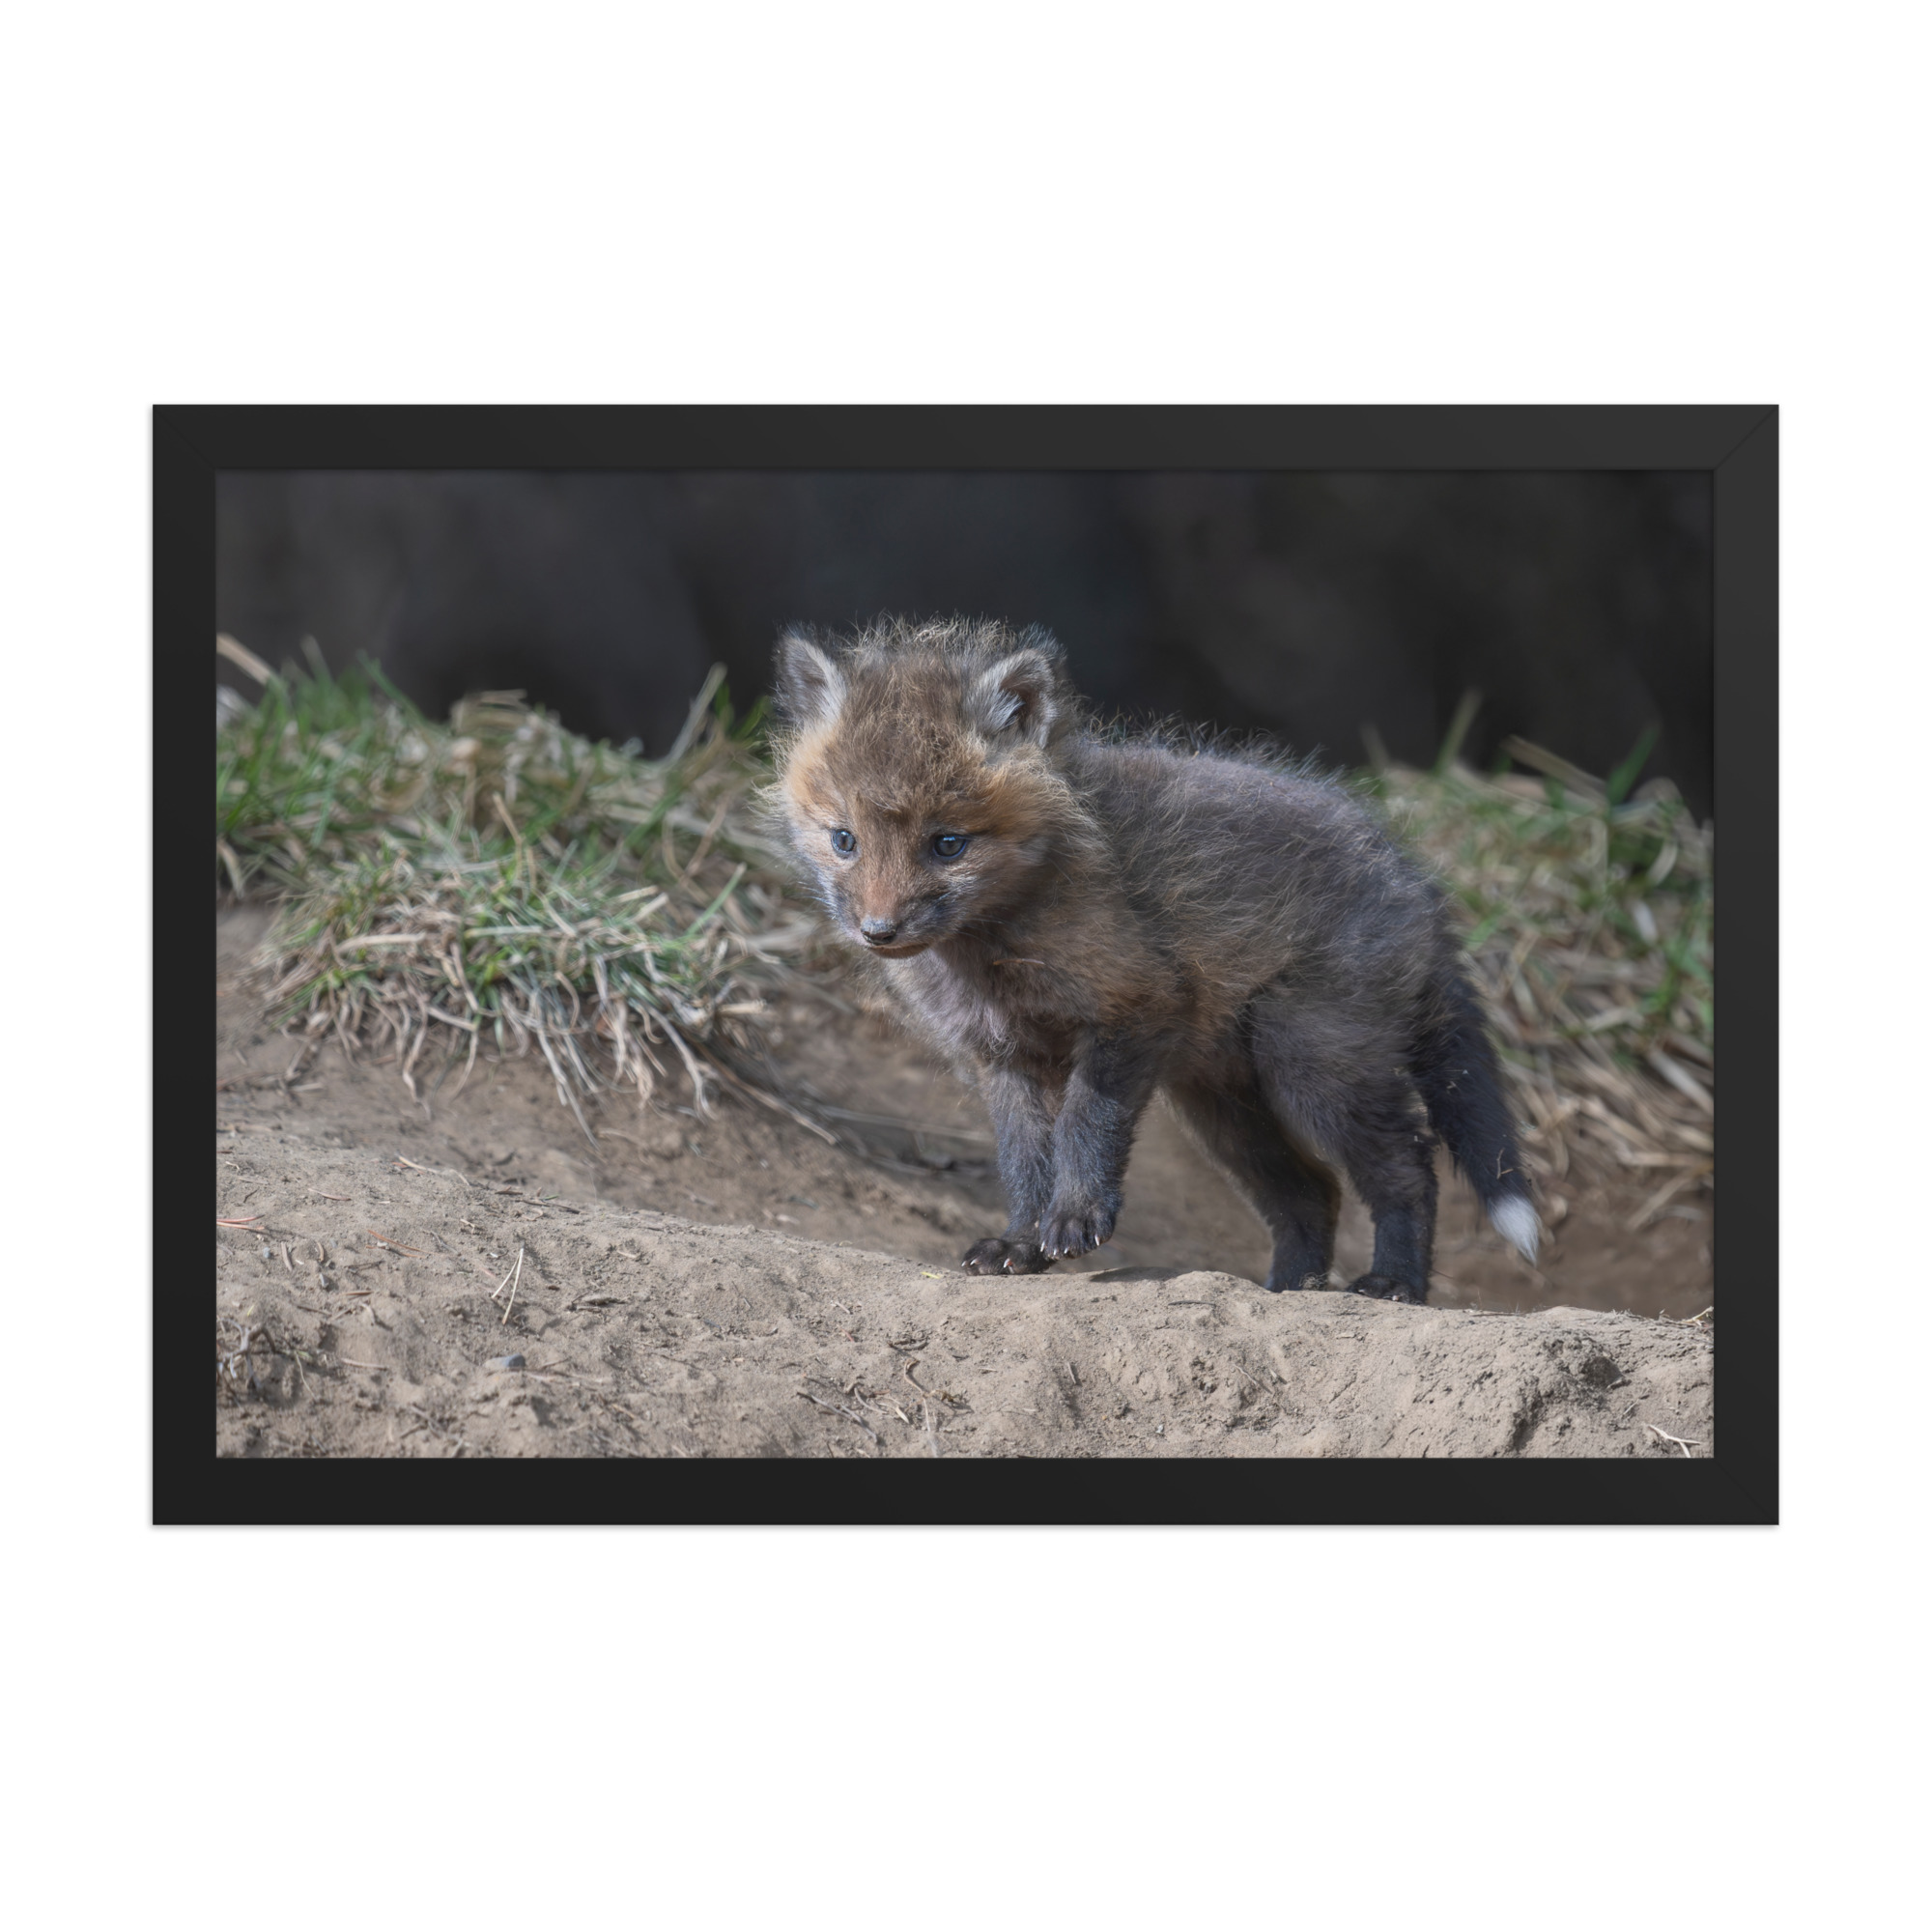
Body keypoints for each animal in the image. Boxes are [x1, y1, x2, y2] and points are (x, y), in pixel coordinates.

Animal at [768, 616, 1538, 1302]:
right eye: (844, 840)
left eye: (948, 844)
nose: (879, 931)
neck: (995, 953)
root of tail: (1417, 882)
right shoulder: (1004, 1056)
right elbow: (1024, 1161)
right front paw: (1020, 1243)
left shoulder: (1134, 1008)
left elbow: (1085, 1126)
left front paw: (1075, 1219)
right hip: (1223, 1105)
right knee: (1311, 1192)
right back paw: (1290, 1289)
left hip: (1314, 1066)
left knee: (1408, 1167)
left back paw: (1395, 1283)